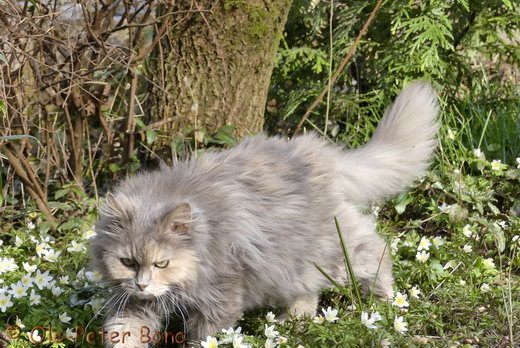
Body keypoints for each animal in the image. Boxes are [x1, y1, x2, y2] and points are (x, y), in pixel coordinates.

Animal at [90, 81, 438, 346]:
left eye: (162, 264)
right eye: (128, 262)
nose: (142, 285)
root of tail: (320, 154)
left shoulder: (220, 297)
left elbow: (206, 338)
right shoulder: (131, 304)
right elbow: (125, 334)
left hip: (331, 250)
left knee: (377, 249)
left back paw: (385, 303)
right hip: (293, 261)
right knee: (308, 293)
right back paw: (290, 324)